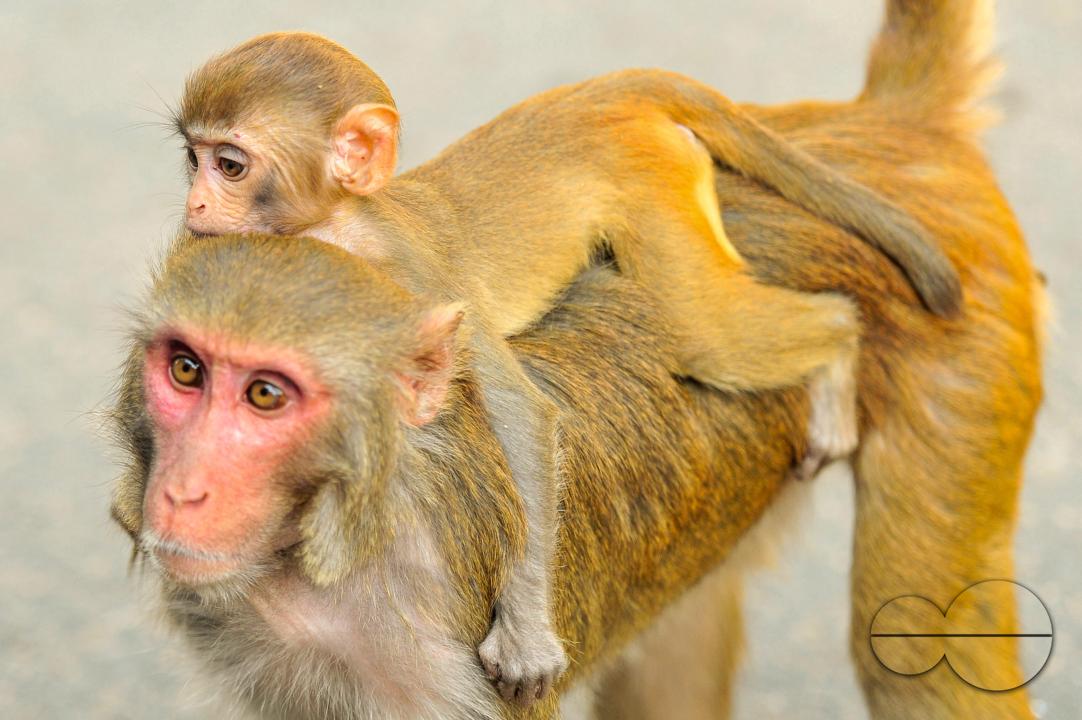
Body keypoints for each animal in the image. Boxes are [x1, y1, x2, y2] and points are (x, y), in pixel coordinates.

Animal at [172, 33, 963, 700]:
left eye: (230, 163)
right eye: (193, 157)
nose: (196, 204)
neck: (340, 226)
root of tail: (593, 95)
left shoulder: (420, 283)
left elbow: (522, 414)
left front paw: (524, 633)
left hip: (653, 182)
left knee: (706, 330)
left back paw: (840, 339)